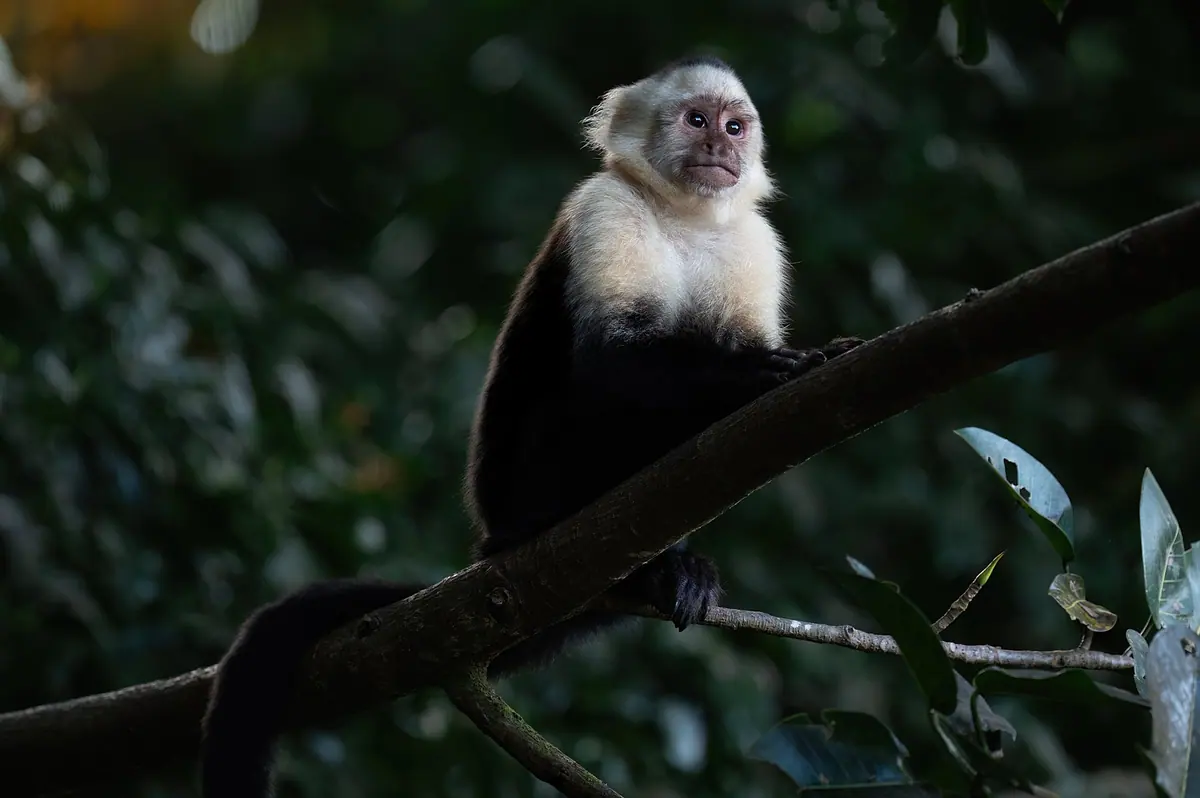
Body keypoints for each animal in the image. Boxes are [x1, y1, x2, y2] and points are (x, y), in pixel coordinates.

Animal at [198, 54, 862, 798]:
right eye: (697, 120)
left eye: (735, 125)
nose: (722, 147)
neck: (684, 216)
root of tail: (493, 537)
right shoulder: (605, 209)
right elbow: (611, 366)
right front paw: (765, 373)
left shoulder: (753, 243)